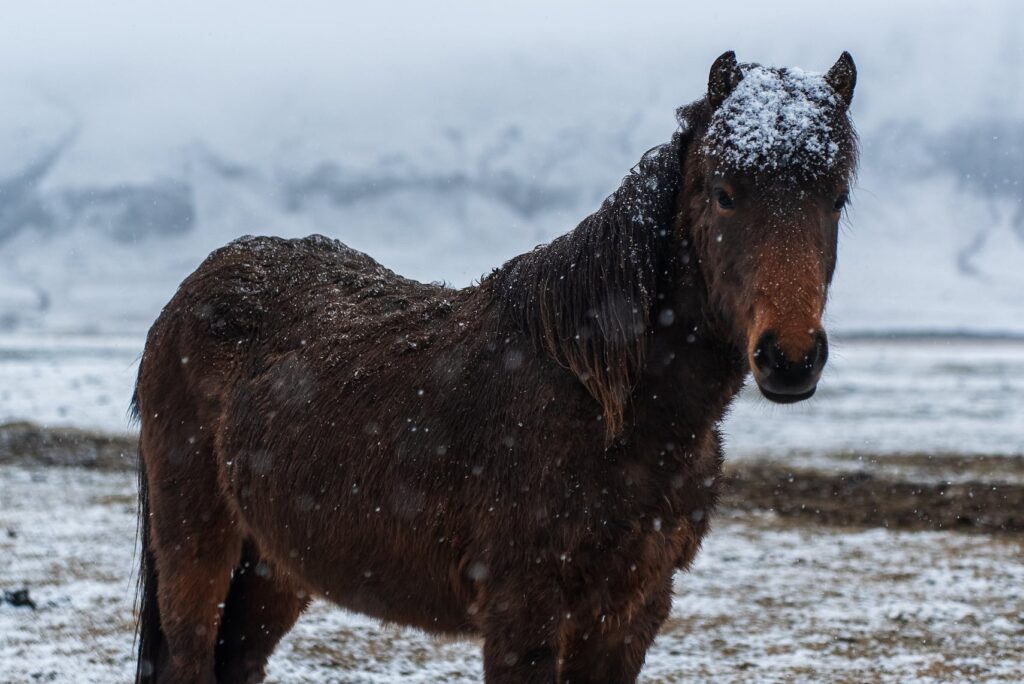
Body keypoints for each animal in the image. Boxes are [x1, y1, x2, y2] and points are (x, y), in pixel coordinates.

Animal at [132, 50, 858, 683]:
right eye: (725, 192)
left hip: (276, 564)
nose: (790, 357)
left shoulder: (630, 614)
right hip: (198, 547)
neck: (601, 399)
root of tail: (189, 294)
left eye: (836, 198)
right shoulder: (523, 612)